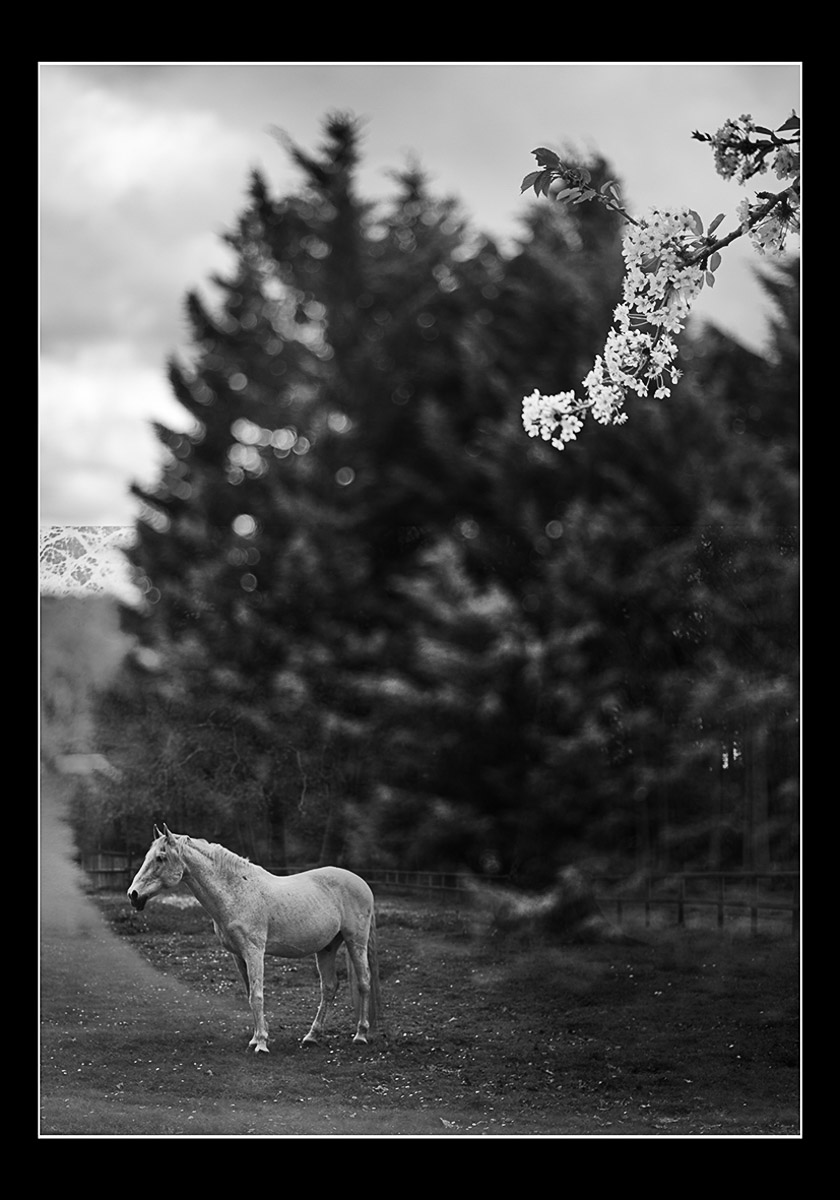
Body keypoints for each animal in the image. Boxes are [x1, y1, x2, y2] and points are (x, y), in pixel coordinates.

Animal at [127, 825, 382, 1054]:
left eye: (160, 858)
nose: (133, 895)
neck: (236, 891)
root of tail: (362, 883)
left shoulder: (254, 951)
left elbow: (257, 996)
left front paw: (261, 1044)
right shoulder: (238, 955)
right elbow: (251, 992)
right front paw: (257, 1037)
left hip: (355, 942)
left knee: (364, 982)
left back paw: (360, 1035)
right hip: (327, 948)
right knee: (329, 987)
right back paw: (312, 1036)